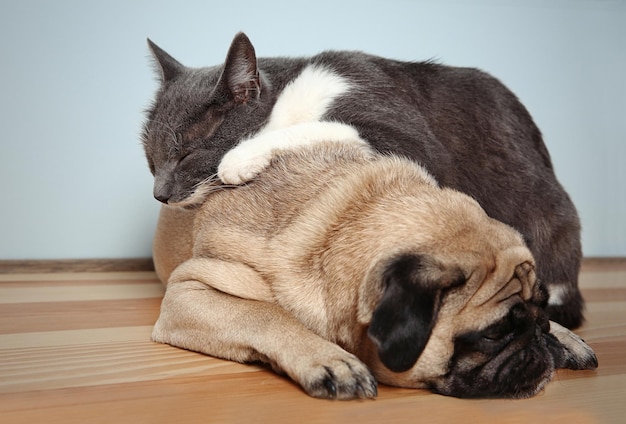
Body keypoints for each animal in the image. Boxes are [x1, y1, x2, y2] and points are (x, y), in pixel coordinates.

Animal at [140, 33, 580, 330]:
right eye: (152, 159)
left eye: (186, 154)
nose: (159, 194)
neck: (292, 95)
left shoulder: (409, 137)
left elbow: (325, 125)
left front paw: (239, 159)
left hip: (547, 217)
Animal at [150, 121, 596, 400]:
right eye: (493, 334)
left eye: (541, 307)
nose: (540, 334)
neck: (348, 223)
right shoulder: (188, 291)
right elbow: (265, 314)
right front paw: (329, 360)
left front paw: (562, 335)